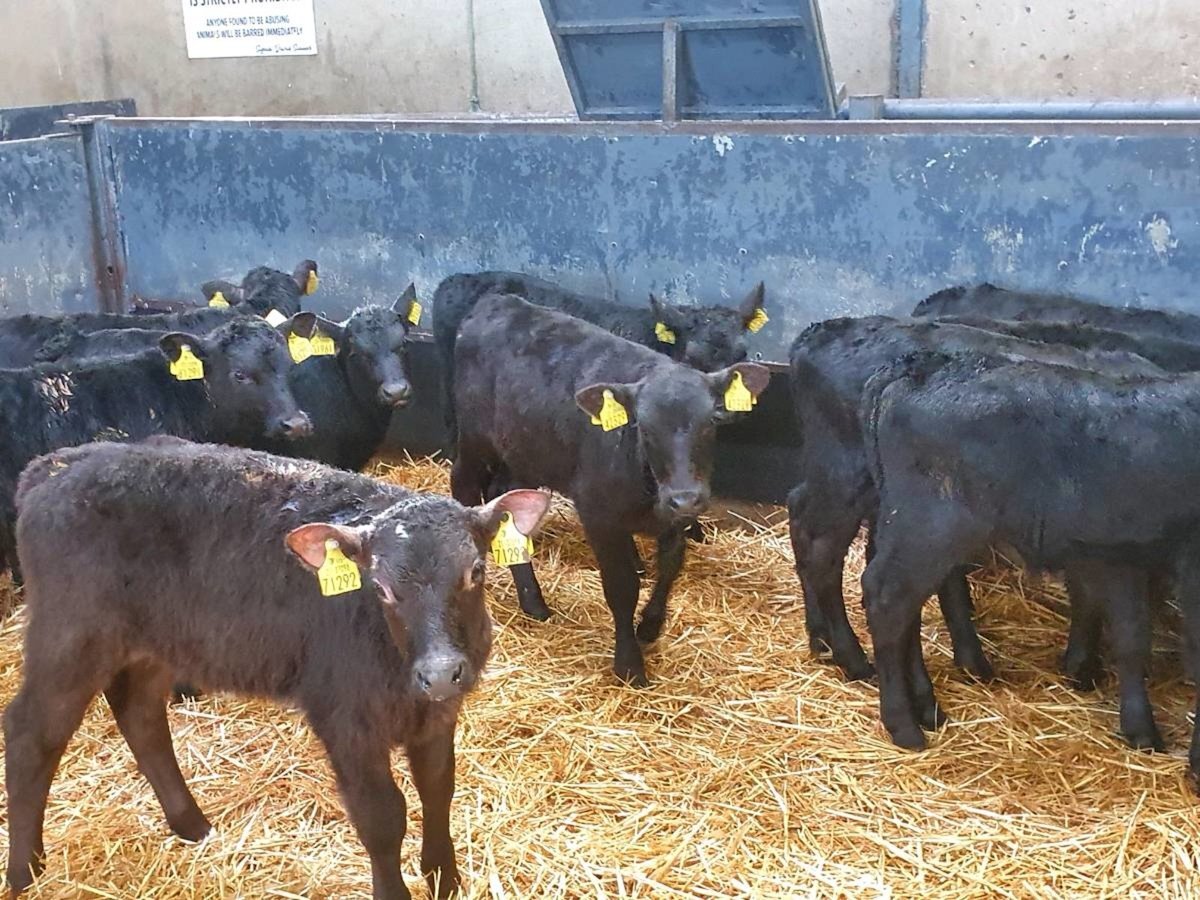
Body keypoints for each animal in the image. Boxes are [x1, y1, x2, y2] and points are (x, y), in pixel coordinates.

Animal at [4, 437, 551, 898]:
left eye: (475, 571)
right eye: (380, 587)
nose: (439, 671)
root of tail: (57, 464)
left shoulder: (438, 714)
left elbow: (438, 788)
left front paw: (444, 879)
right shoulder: (344, 718)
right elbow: (381, 815)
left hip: (154, 643)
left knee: (139, 714)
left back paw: (191, 825)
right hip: (69, 637)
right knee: (30, 733)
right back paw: (24, 871)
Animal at [452, 293, 769, 685]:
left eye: (708, 422)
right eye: (644, 426)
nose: (685, 499)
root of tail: (499, 301)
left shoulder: (676, 513)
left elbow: (671, 566)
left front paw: (650, 625)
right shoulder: (599, 515)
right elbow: (621, 587)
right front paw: (629, 663)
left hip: (526, 451)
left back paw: (533, 601)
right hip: (475, 438)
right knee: (463, 484)